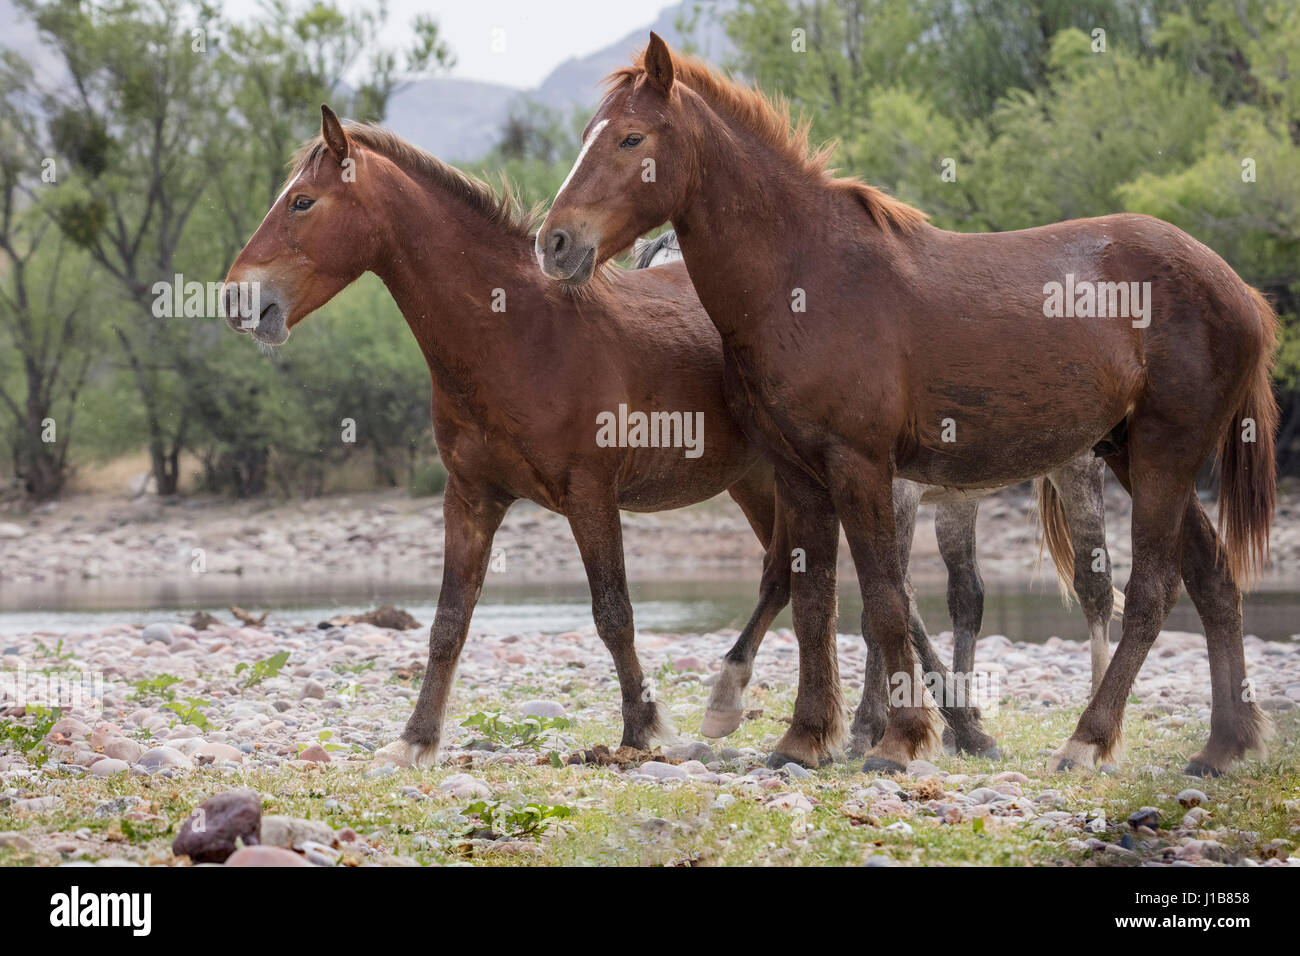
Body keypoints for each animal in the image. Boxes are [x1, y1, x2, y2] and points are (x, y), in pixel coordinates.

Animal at [538, 33, 1279, 780]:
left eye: (632, 137)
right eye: (590, 133)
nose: (555, 242)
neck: (807, 277)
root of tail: (1237, 286)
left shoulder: (862, 467)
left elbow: (884, 600)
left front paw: (900, 740)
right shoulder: (801, 474)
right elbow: (814, 602)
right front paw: (806, 737)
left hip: (1161, 455)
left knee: (1152, 591)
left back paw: (1089, 738)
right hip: (1134, 454)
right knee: (1214, 579)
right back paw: (1224, 745)